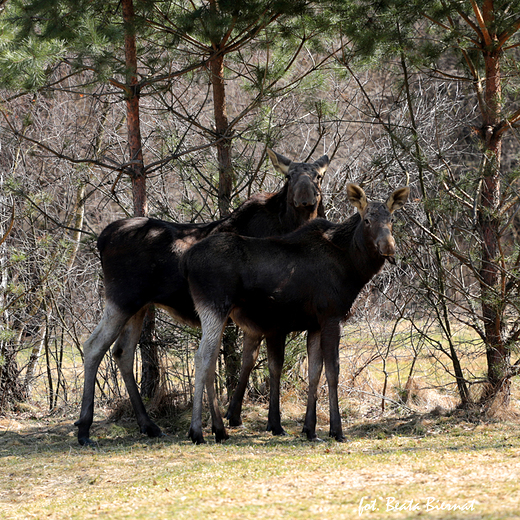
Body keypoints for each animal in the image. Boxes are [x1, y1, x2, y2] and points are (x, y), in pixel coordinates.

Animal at [74, 148, 330, 444]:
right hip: (121, 300)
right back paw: (84, 427)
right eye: (289, 176)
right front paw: (269, 422)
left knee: (122, 353)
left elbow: (246, 359)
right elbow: (268, 365)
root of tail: (101, 239)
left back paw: (148, 425)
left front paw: (233, 415)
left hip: (139, 306)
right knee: (94, 346)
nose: (305, 199)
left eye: (318, 176)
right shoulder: (268, 315)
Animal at [181, 183, 408, 442]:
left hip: (220, 313)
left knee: (210, 360)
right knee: (202, 358)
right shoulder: (331, 316)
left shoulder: (315, 324)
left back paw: (219, 429)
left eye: (392, 219)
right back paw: (197, 431)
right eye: (368, 220)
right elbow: (333, 371)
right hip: (214, 306)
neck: (353, 268)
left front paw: (310, 429)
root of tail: (187, 261)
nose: (388, 247)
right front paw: (336, 430)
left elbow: (314, 372)